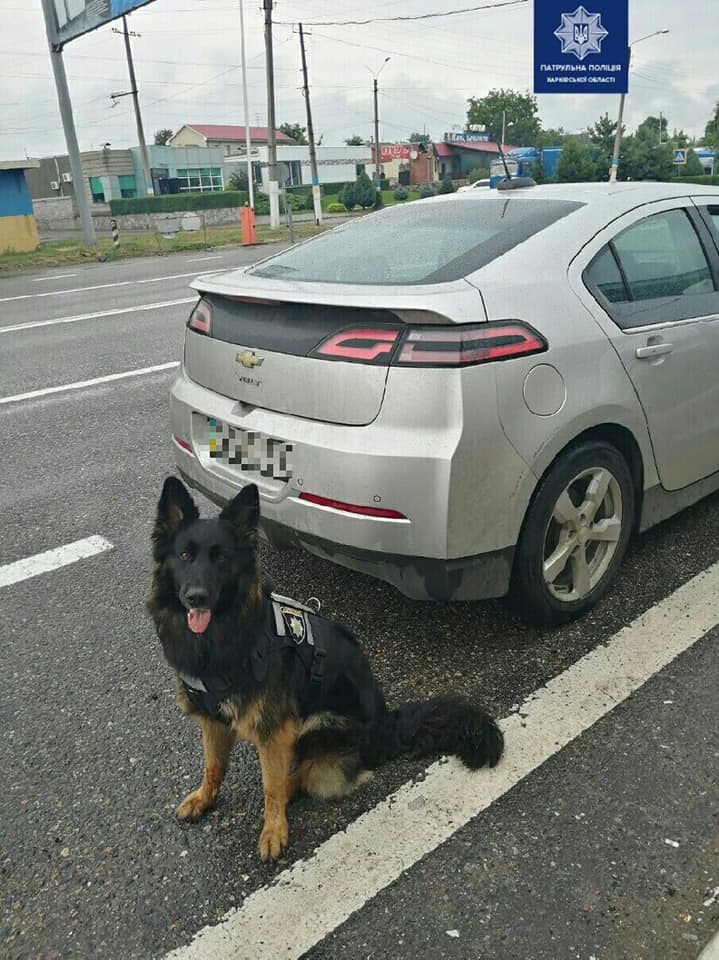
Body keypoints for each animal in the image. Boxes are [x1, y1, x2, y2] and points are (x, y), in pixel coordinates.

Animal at [149, 476, 504, 860]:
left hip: (319, 725)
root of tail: (387, 726)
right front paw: (204, 797)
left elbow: (271, 784)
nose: (196, 597)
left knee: (301, 776)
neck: (222, 636)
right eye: (185, 555)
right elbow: (213, 765)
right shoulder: (212, 719)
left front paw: (273, 830)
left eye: (221, 558)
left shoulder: (275, 730)